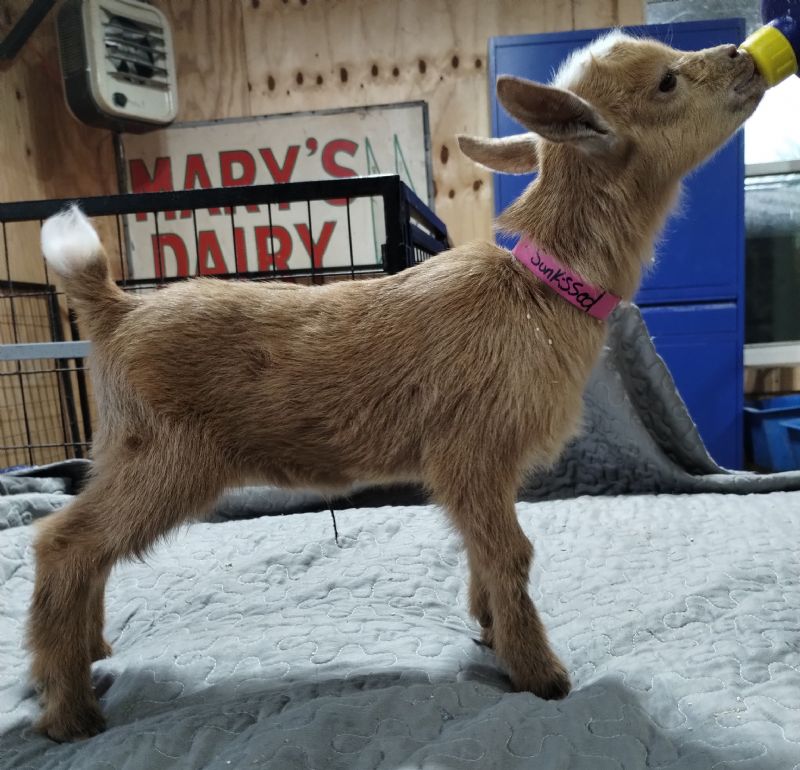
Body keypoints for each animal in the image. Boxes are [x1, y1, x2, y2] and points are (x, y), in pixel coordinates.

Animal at [29, 30, 764, 740]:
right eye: (665, 83)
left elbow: (483, 555)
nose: (745, 57)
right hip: (166, 457)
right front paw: (540, 672)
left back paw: (88, 654)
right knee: (64, 543)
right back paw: (68, 710)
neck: (539, 290)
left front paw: (490, 631)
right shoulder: (472, 451)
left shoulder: (483, 474)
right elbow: (512, 555)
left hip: (123, 452)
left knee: (84, 546)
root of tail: (115, 309)